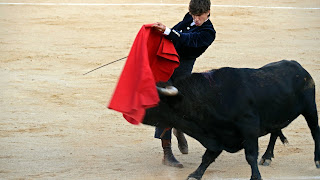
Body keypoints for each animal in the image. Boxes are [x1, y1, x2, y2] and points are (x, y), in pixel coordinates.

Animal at [143, 60, 320, 180]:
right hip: (276, 114)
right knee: (275, 132)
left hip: (310, 108)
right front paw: (195, 174)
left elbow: (250, 155)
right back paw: (267, 157)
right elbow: (208, 156)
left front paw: (256, 176)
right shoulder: (217, 134)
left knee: (315, 131)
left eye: (154, 99)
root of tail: (299, 68)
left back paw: (317, 161)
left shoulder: (249, 129)